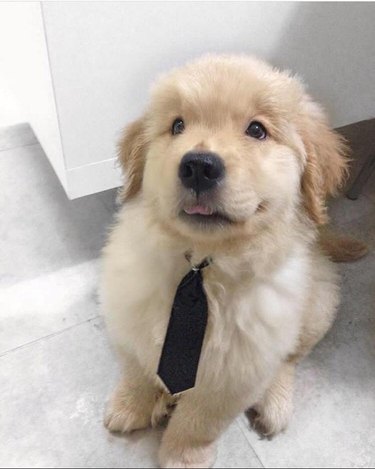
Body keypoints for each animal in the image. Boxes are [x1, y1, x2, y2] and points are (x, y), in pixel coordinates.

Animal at [100, 54, 350, 464]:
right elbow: (136, 371)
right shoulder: (131, 318)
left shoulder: (237, 371)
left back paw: (275, 403)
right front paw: (129, 406)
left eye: (257, 130)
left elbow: (200, 420)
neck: (201, 268)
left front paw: (183, 456)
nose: (199, 165)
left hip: (317, 307)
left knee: (290, 359)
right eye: (178, 125)